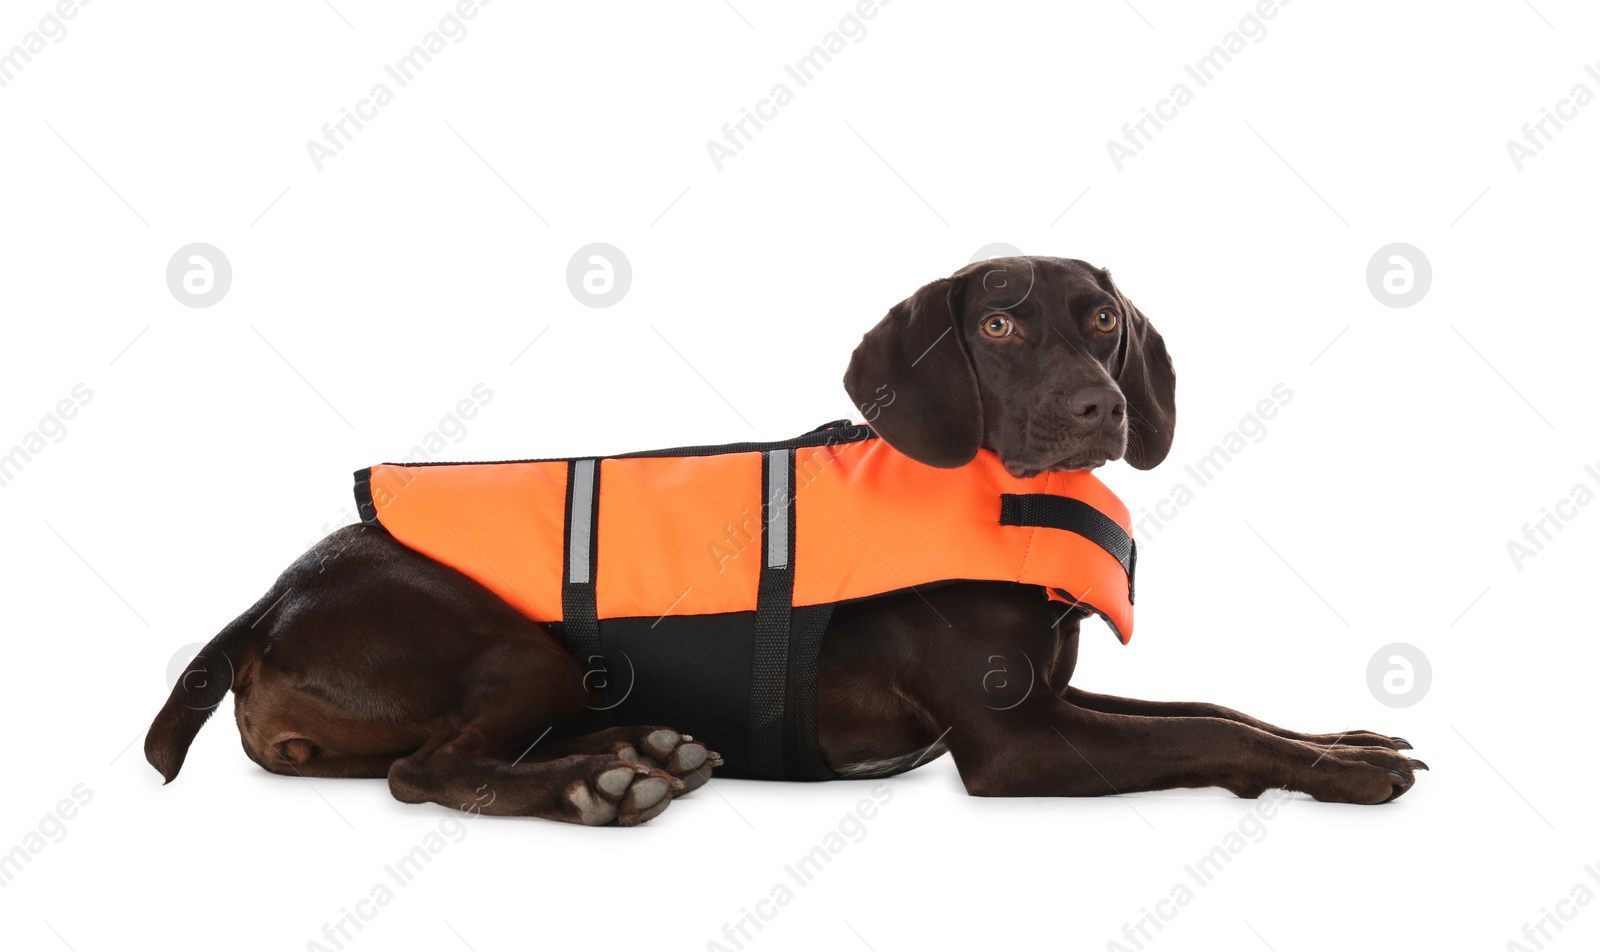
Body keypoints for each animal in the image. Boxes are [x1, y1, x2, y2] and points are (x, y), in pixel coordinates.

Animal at [147, 257, 1427, 825]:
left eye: (1102, 319)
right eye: (999, 325)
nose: (1097, 408)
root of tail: (266, 600)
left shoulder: (1057, 698)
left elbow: (1219, 706)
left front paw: (1344, 736)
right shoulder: (1016, 744)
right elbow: (1212, 733)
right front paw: (1341, 772)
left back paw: (649, 746)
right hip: (513, 647)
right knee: (428, 771)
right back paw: (606, 781)